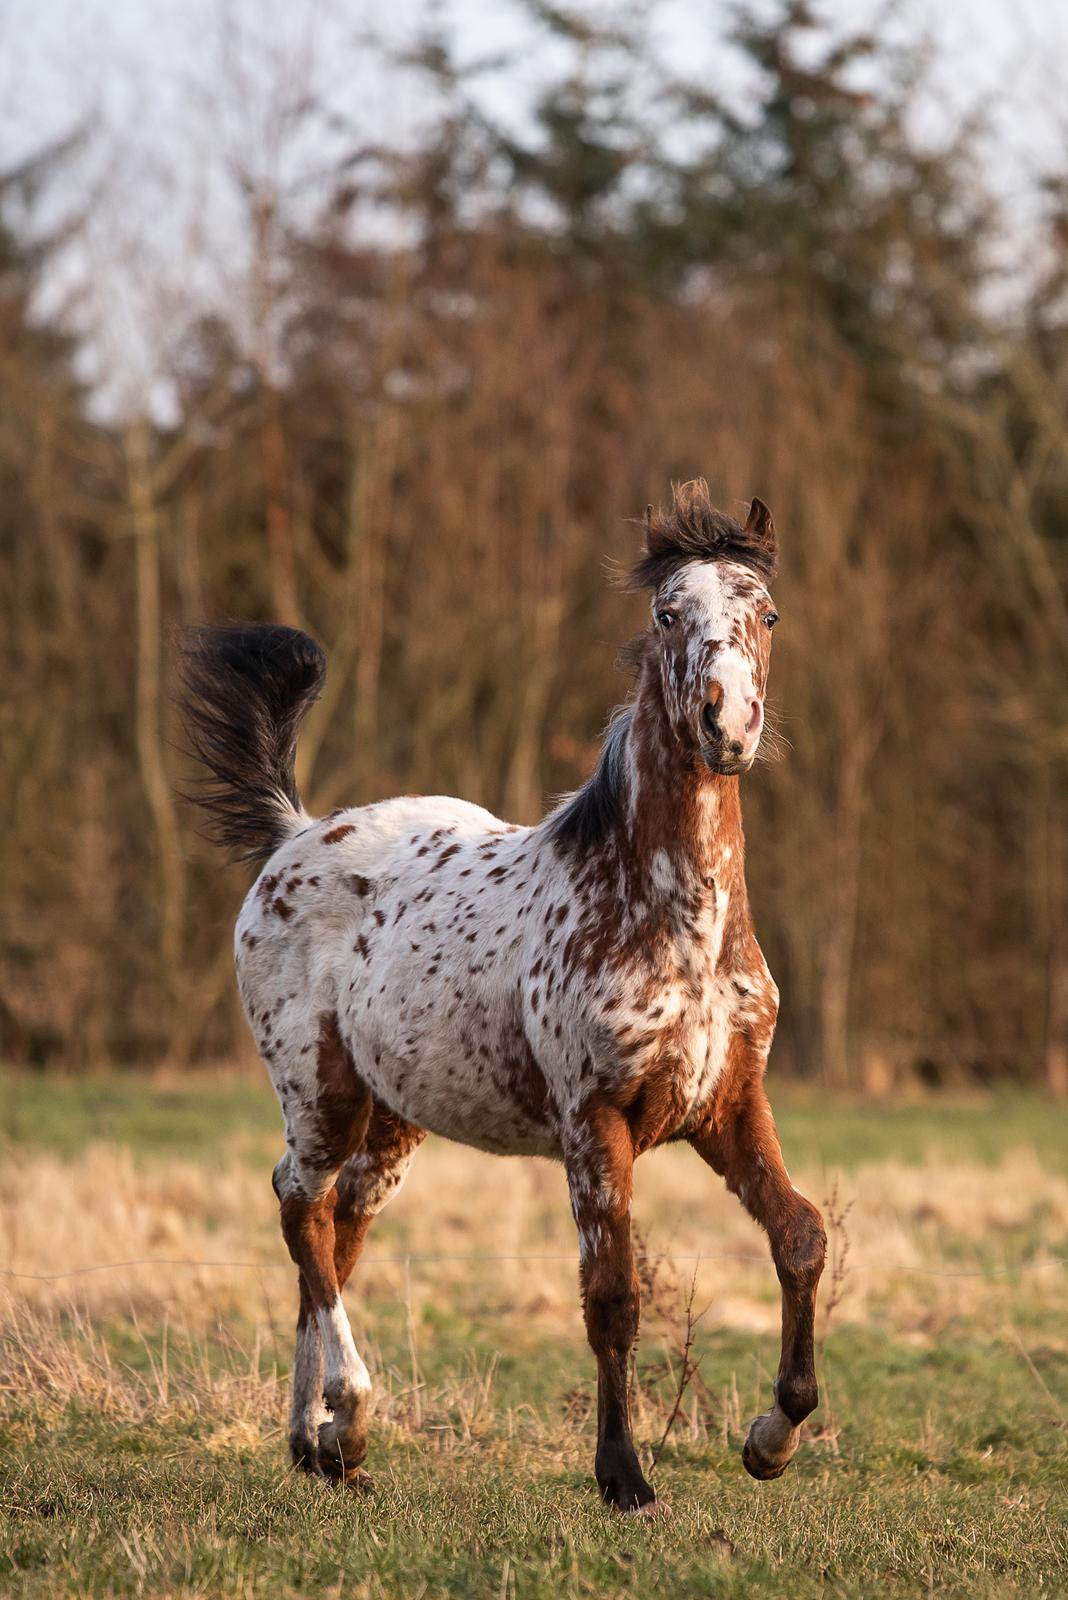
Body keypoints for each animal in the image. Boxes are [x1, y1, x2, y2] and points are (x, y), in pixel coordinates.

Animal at [177, 473, 824, 1510]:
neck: (667, 918)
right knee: (297, 1208)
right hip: (318, 1092)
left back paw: (320, 1445)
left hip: (395, 1119)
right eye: (666, 613)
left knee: (336, 1229)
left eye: (766, 612)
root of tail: (294, 833)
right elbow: (613, 1297)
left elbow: (800, 1235)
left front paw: (772, 1438)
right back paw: (348, 1413)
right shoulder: (595, 1121)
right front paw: (624, 1476)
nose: (727, 726)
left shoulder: (727, 1105)